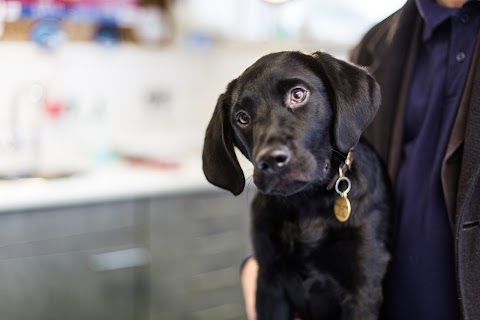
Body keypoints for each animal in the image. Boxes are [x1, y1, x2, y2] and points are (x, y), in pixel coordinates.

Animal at [201, 51, 392, 318]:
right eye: (242, 118)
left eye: (298, 95)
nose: (271, 160)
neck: (307, 202)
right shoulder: (269, 283)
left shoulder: (363, 287)